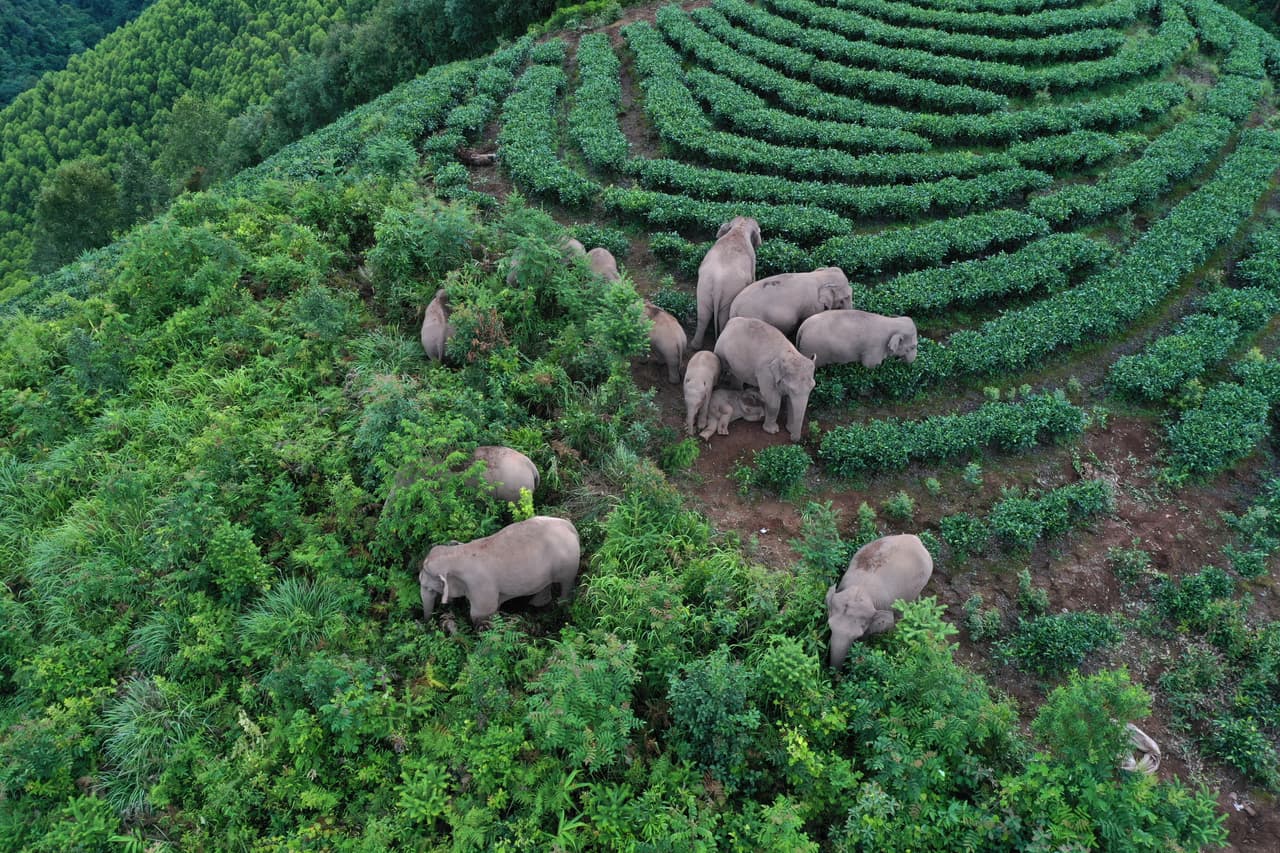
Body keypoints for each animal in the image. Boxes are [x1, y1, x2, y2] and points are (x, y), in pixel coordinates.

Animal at [420, 515, 581, 625]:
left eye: (428, 587)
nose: (427, 622)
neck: (456, 553)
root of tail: (570, 526)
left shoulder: (480, 586)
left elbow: (480, 614)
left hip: (568, 563)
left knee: (566, 584)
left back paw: (561, 607)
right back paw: (536, 604)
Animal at [691, 216, 762, 350]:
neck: (740, 228)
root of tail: (718, 282)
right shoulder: (752, 259)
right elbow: (753, 278)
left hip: (703, 286)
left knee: (703, 314)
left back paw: (695, 346)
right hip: (730, 292)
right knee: (723, 317)